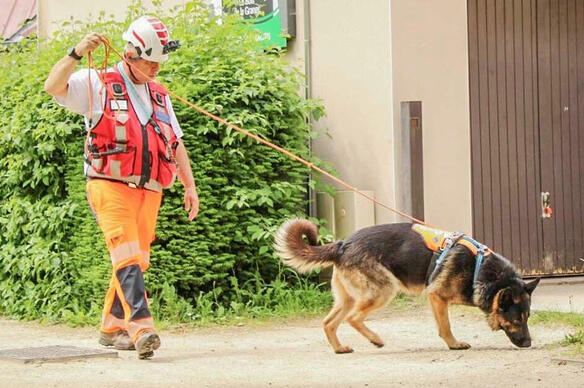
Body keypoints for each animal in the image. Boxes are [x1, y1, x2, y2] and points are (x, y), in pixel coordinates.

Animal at [274, 220, 540, 354]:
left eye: (527, 318)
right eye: (517, 320)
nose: (529, 344)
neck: (481, 270)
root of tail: (342, 244)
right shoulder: (437, 297)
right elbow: (445, 326)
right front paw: (453, 344)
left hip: (348, 298)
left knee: (329, 322)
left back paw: (339, 348)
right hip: (383, 292)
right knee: (353, 319)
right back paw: (375, 339)